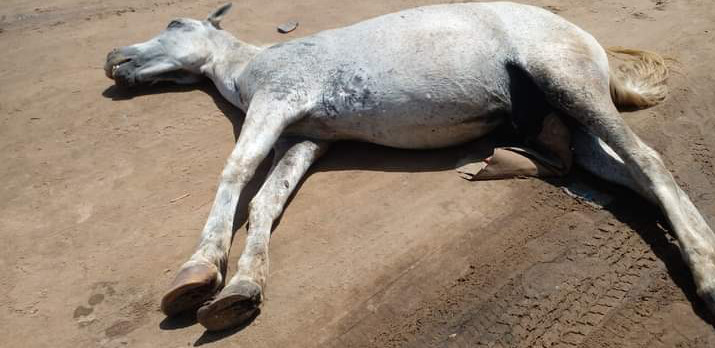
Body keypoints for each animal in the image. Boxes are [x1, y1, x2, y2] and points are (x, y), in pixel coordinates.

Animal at [105, 1, 715, 330]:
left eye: (176, 23)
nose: (114, 59)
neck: (255, 64)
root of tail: (591, 42)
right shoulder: (303, 139)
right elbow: (266, 202)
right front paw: (241, 288)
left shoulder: (277, 103)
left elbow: (235, 173)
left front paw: (198, 272)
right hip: (562, 118)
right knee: (614, 172)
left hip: (569, 85)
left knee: (648, 161)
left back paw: (706, 273)